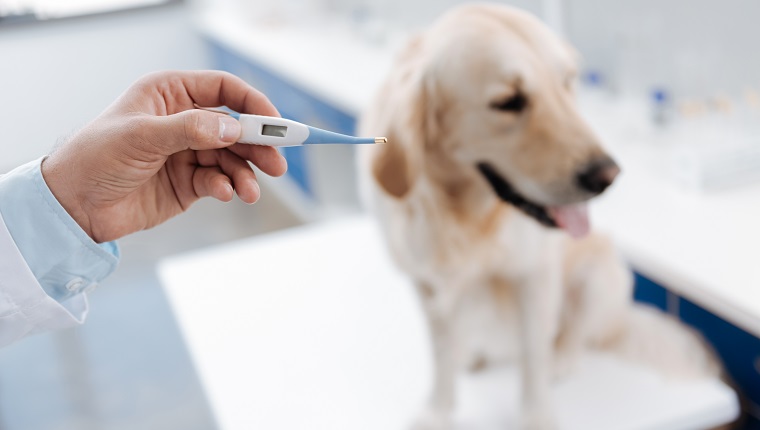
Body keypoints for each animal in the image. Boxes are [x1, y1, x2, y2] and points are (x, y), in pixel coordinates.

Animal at [356, 4, 724, 430]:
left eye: (567, 82)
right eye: (508, 101)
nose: (608, 175)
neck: (466, 215)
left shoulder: (533, 275)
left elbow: (533, 359)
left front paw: (537, 416)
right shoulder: (425, 284)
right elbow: (440, 355)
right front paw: (437, 411)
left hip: (601, 273)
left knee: (574, 335)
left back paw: (561, 360)